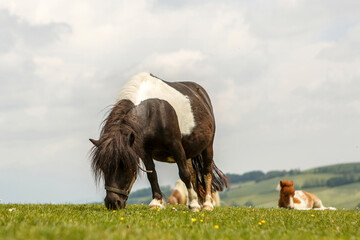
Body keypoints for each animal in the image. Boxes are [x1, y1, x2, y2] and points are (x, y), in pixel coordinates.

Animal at [89, 72, 228, 211]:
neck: (154, 111)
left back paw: (206, 204)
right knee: (194, 175)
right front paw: (156, 202)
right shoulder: (144, 151)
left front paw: (193, 205)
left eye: (125, 166)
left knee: (206, 172)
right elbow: (152, 175)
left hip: (208, 146)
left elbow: (184, 174)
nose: (113, 203)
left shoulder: (176, 146)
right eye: (102, 167)